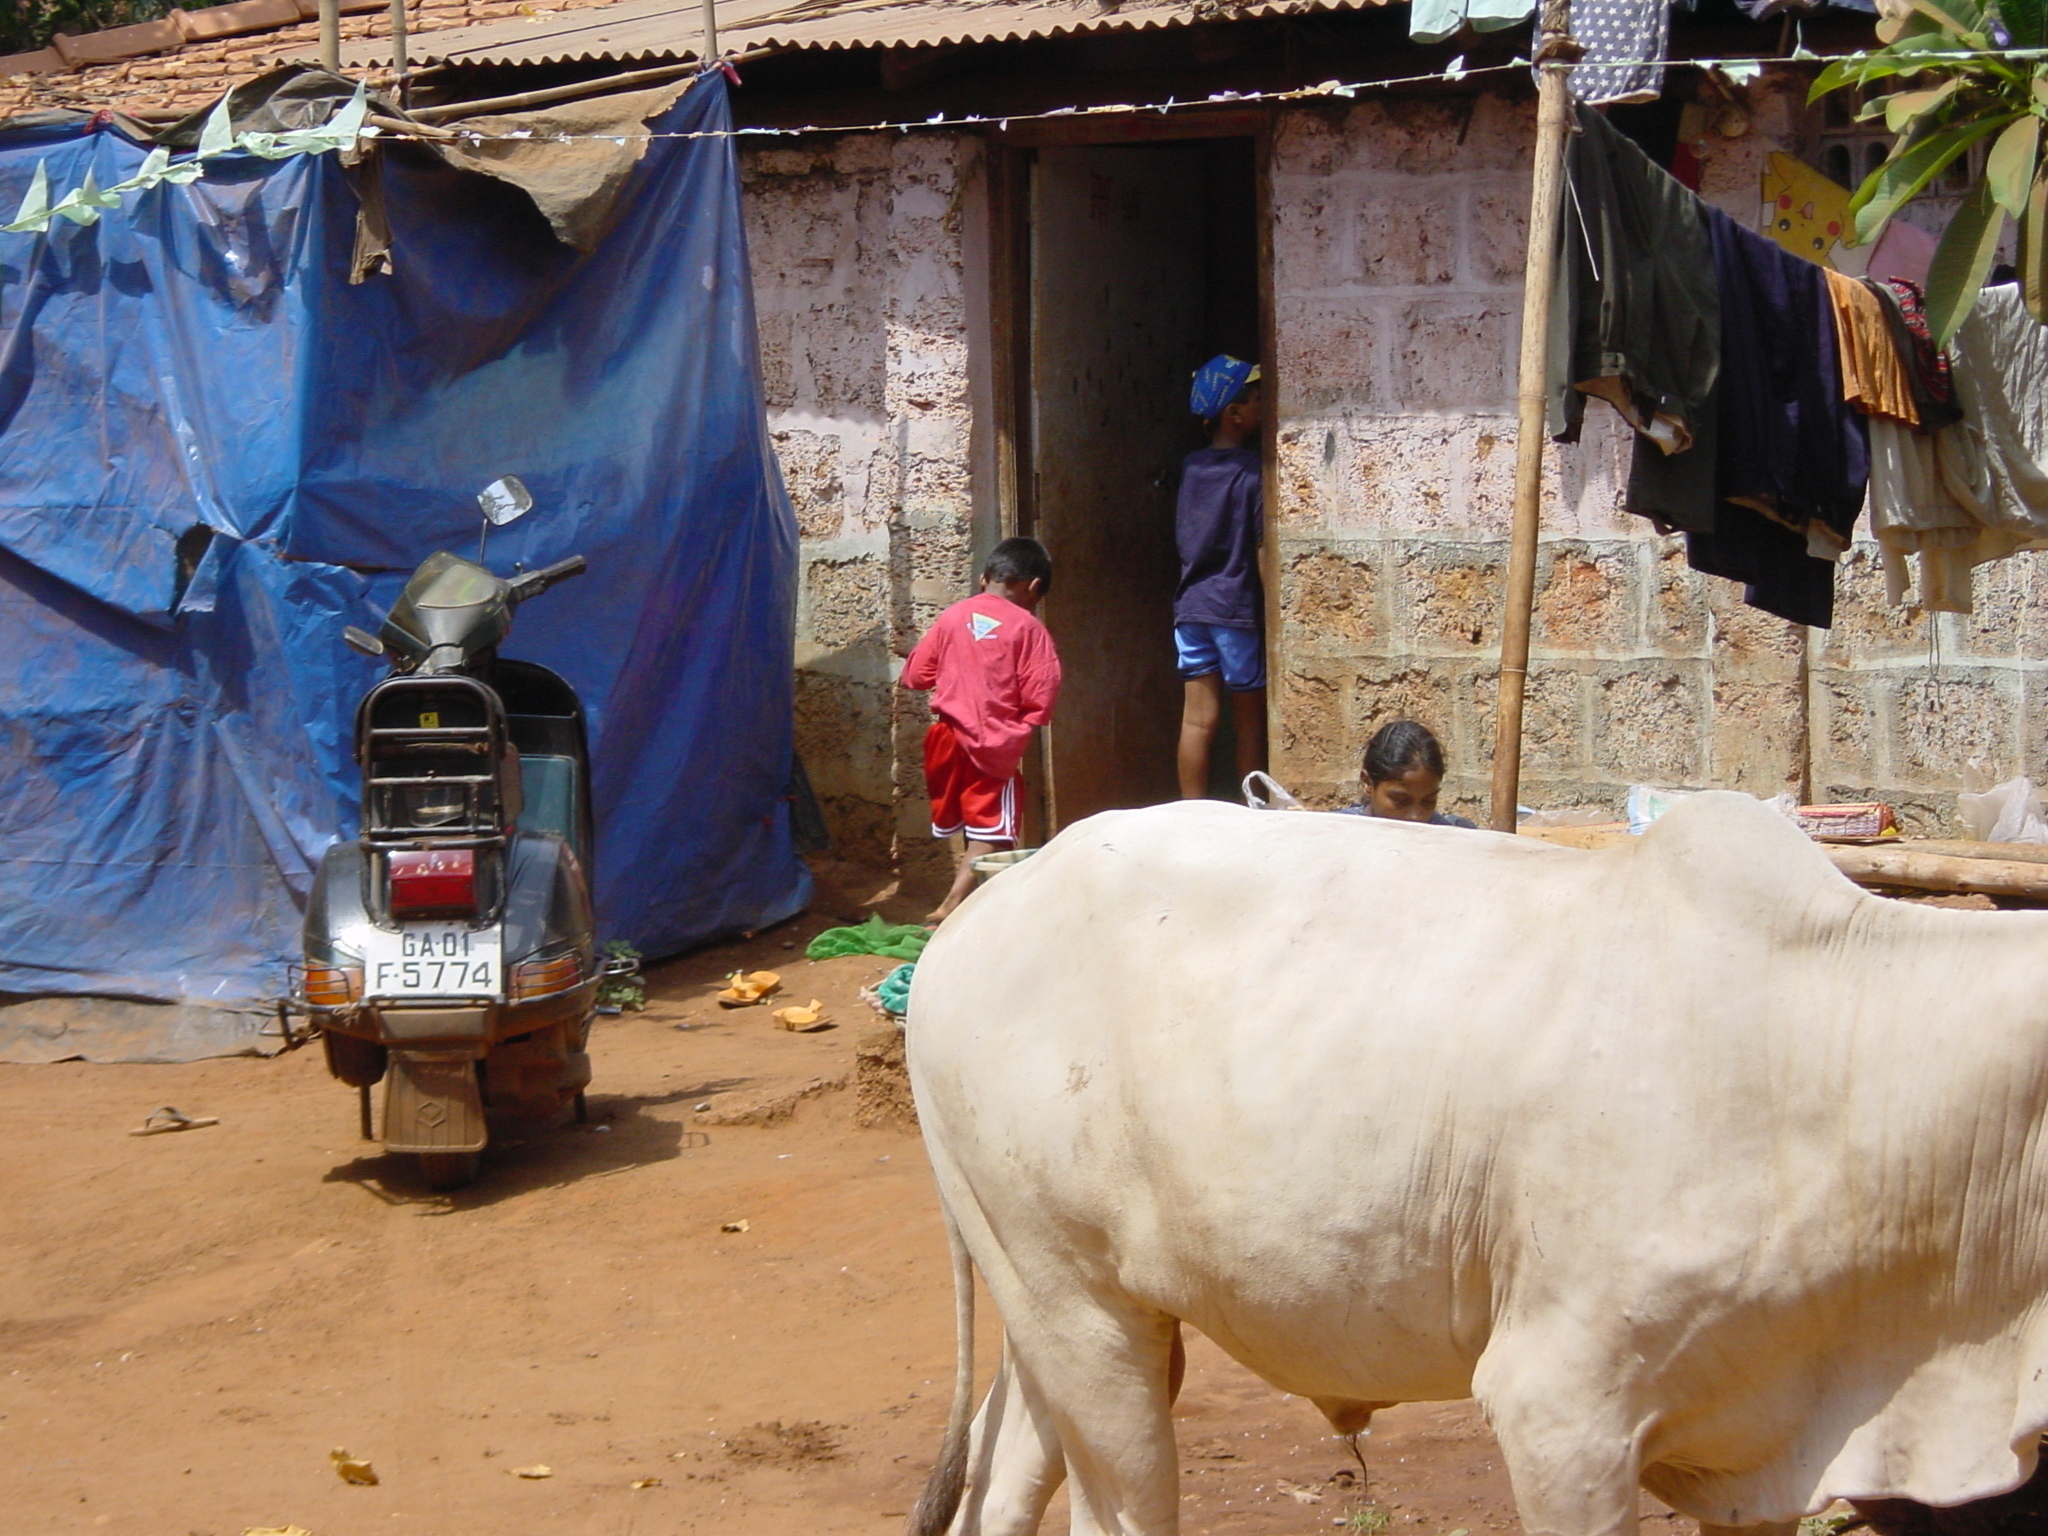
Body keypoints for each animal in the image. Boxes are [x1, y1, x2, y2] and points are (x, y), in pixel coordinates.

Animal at [913, 798, 2048, 1531]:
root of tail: (970, 923)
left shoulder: (1756, 1444)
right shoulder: (1564, 1408)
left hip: (1065, 1312)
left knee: (1000, 1481)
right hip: (1077, 1310)